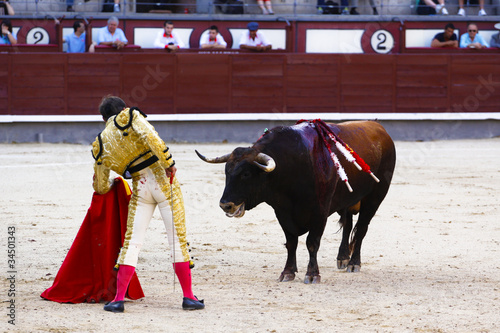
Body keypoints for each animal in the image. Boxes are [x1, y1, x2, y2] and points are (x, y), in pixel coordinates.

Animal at [197, 120, 396, 282]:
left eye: (246, 174)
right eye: (227, 172)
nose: (225, 205)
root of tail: (379, 127)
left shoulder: (320, 212)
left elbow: (312, 242)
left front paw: (312, 274)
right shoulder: (282, 212)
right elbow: (291, 242)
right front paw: (287, 273)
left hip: (375, 197)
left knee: (361, 228)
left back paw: (354, 263)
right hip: (347, 200)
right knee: (348, 225)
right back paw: (342, 258)